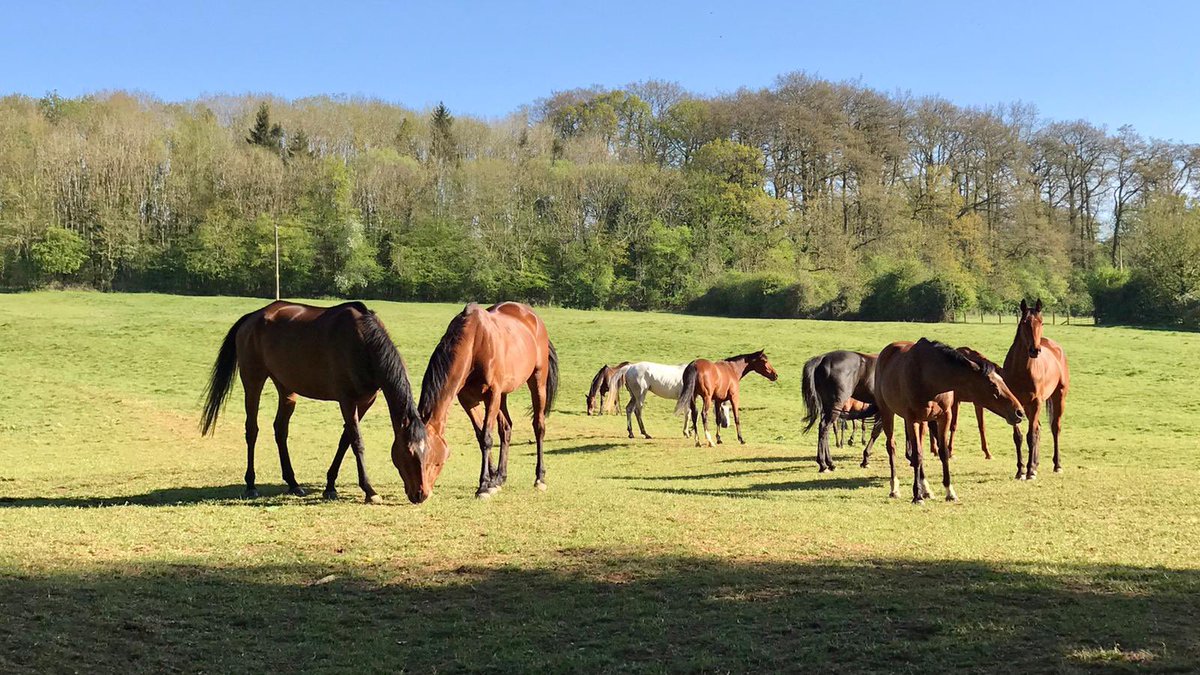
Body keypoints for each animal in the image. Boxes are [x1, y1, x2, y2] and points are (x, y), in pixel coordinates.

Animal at [201, 302, 432, 502]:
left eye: (428, 452)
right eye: (408, 453)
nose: (420, 494)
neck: (363, 342)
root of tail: (251, 317)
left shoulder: (366, 401)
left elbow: (345, 439)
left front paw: (330, 486)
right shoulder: (347, 400)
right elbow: (356, 441)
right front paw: (369, 490)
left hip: (286, 387)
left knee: (280, 429)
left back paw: (293, 483)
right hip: (253, 381)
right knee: (252, 429)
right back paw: (251, 485)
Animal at [417, 302, 556, 497]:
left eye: (429, 458)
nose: (419, 493)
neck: (474, 344)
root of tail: (534, 318)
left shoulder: (492, 395)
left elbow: (487, 437)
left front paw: (483, 486)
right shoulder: (468, 400)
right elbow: (481, 436)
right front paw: (491, 481)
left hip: (537, 382)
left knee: (539, 426)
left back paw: (540, 478)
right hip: (503, 396)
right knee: (506, 429)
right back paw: (500, 477)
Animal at [873, 338, 1022, 502]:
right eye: (993, 385)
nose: (1019, 412)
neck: (927, 377)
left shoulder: (944, 416)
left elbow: (942, 452)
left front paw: (949, 491)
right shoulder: (912, 419)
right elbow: (916, 455)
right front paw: (917, 496)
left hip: (925, 420)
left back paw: (926, 489)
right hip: (888, 412)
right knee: (891, 446)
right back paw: (895, 488)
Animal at [1003, 299, 1070, 478]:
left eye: (1041, 322)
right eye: (1024, 322)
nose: (1035, 350)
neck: (1021, 370)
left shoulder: (1036, 402)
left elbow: (1031, 436)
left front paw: (1029, 472)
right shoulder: (1014, 405)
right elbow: (1018, 436)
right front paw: (1021, 470)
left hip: (1058, 397)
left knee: (1055, 428)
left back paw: (1057, 465)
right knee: (1038, 428)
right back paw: (1035, 464)